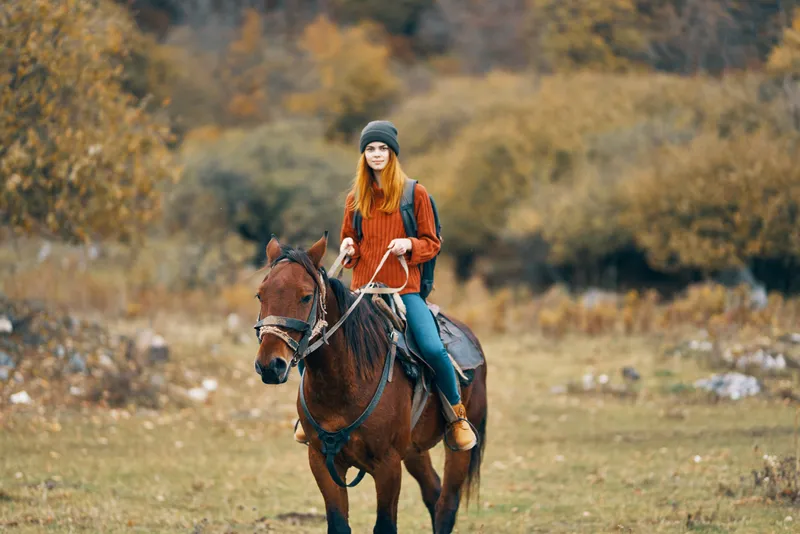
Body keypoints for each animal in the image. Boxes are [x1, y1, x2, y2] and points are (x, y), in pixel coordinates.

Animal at [253, 233, 488, 534]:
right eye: (261, 294)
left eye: (306, 296)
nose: (270, 366)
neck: (343, 385)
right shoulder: (321, 461)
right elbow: (338, 524)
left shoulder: (387, 464)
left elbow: (385, 525)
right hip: (413, 450)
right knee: (433, 492)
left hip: (458, 450)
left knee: (447, 504)